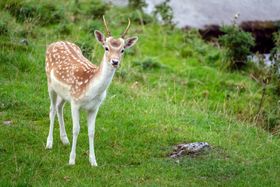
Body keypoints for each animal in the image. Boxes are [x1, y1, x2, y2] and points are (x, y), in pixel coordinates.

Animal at [44, 15, 138, 165]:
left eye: (122, 50)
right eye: (106, 48)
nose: (115, 62)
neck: (91, 90)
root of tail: (54, 43)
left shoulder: (95, 107)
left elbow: (92, 131)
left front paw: (93, 161)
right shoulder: (75, 102)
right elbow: (76, 129)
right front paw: (72, 160)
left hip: (63, 94)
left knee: (59, 107)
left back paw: (65, 140)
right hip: (50, 84)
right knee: (52, 109)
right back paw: (49, 143)